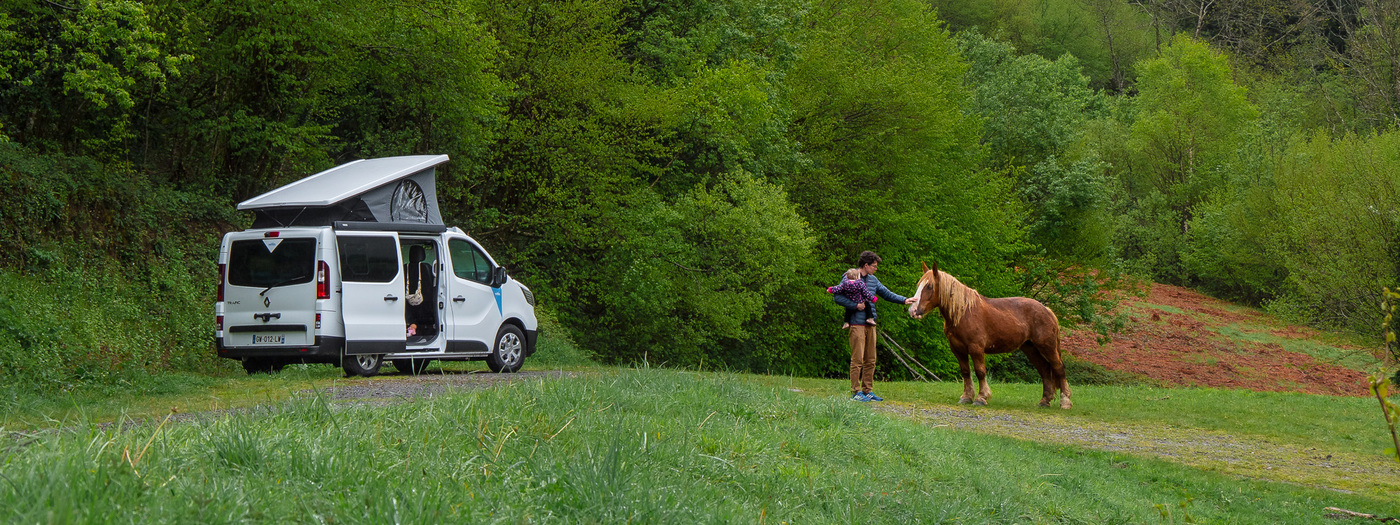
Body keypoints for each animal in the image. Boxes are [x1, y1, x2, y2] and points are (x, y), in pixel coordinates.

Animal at [907, 263, 1069, 411]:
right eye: (919, 285)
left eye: (929, 286)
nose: (913, 310)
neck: (964, 313)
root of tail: (1047, 310)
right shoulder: (957, 349)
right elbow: (966, 372)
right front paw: (966, 397)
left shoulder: (976, 348)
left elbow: (980, 371)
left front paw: (981, 398)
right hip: (1031, 349)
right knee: (1044, 370)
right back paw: (1045, 401)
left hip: (1047, 347)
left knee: (1058, 368)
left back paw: (1065, 402)